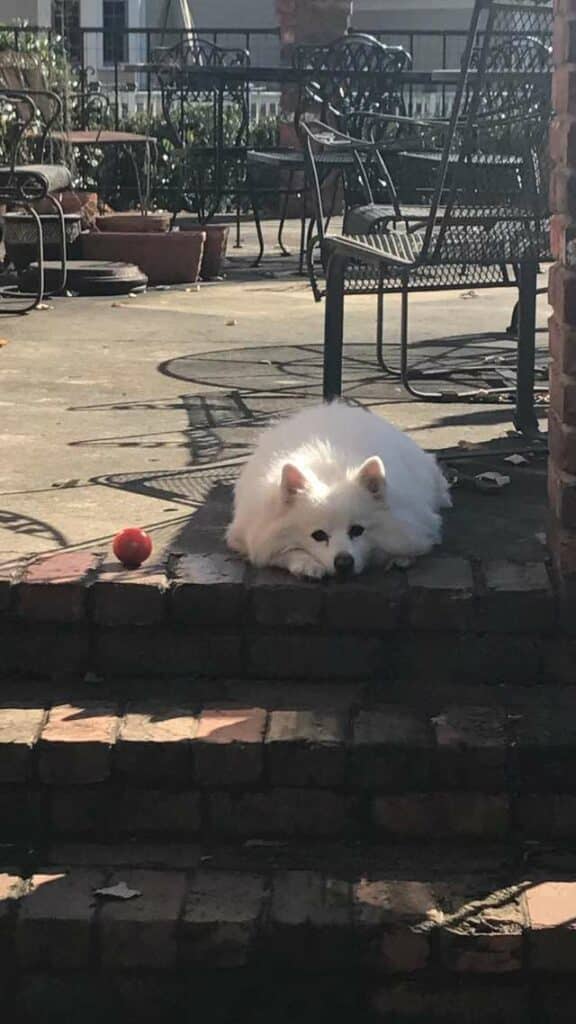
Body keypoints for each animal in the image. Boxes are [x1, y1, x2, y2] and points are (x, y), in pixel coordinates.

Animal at [226, 399, 450, 577]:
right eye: (319, 535)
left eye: (357, 530)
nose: (344, 562)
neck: (332, 475)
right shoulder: (251, 535)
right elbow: (280, 552)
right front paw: (307, 565)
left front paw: (399, 558)